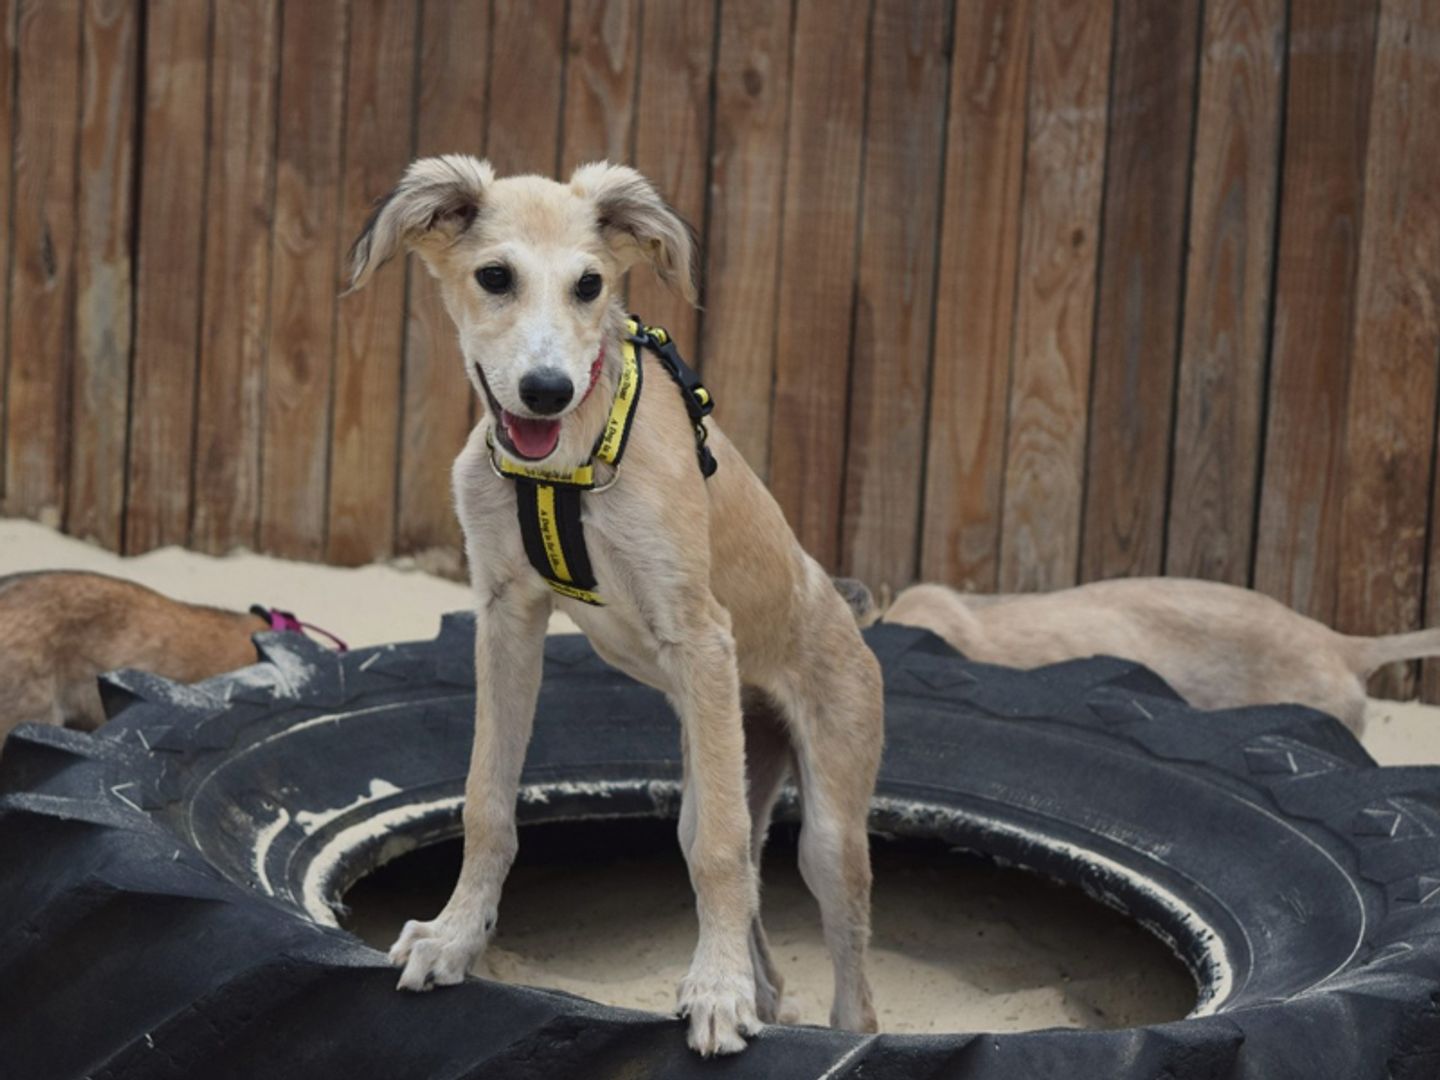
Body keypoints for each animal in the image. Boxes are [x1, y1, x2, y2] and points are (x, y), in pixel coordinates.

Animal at [345, 156, 887, 1054]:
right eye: (495, 277)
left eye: (591, 285)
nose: (545, 391)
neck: (567, 456)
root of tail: (850, 614)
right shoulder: (506, 617)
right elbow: (486, 801)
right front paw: (456, 938)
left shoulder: (701, 635)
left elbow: (718, 859)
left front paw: (715, 993)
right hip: (724, 760)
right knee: (732, 870)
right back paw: (756, 984)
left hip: (830, 828)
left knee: (847, 983)